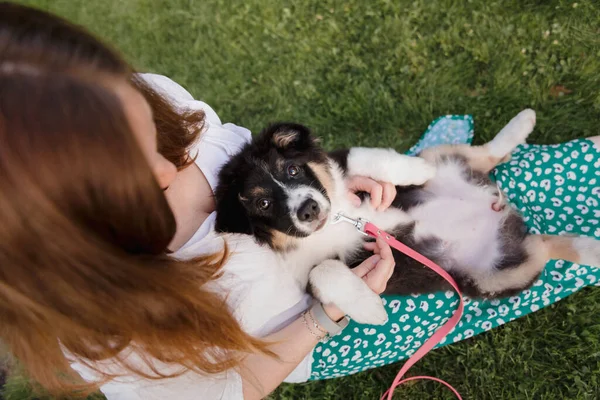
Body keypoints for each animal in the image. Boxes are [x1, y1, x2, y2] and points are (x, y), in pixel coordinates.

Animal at [216, 110, 600, 324]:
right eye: (263, 203)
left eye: (292, 169)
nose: (309, 209)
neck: (338, 219)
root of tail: (496, 206)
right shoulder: (305, 279)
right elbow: (324, 270)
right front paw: (371, 309)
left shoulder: (344, 166)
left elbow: (365, 157)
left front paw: (414, 170)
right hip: (495, 276)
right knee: (543, 244)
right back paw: (591, 248)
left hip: (443, 157)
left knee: (484, 155)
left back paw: (524, 123)